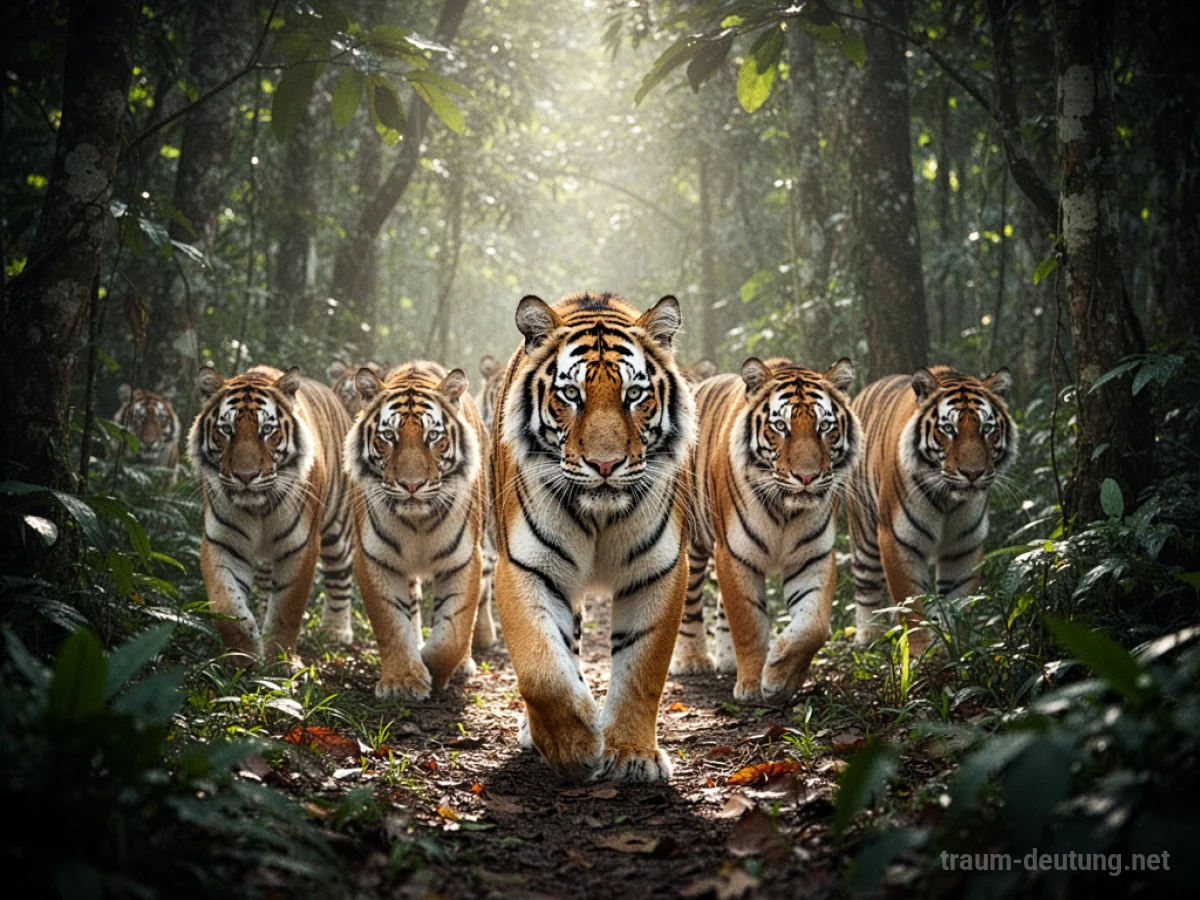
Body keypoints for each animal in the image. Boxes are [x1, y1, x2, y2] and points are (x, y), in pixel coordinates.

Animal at [189, 365, 355, 665]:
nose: (245, 476)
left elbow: (288, 608)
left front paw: (281, 661)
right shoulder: (221, 542)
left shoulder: (302, 545)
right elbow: (226, 606)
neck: (258, 509)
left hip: (338, 529)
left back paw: (336, 631)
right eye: (226, 429)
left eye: (266, 430)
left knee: (340, 575)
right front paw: (245, 658)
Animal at [345, 361, 489, 701]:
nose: (411, 485)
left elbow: (454, 632)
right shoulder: (374, 559)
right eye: (389, 436)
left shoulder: (465, 560)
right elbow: (391, 624)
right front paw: (403, 681)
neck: (417, 523)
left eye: (433, 436)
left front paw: (435, 671)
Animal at [492, 291, 696, 783]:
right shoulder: (525, 567)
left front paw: (632, 755)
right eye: (571, 395)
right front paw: (575, 746)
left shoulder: (658, 570)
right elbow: (541, 669)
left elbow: (642, 670)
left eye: (634, 395)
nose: (605, 465)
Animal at [673, 357, 861, 704]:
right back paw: (692, 660)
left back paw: (728, 660)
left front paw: (779, 676)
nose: (807, 477)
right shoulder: (735, 554)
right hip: (694, 541)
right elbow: (748, 622)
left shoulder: (814, 556)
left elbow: (813, 625)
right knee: (691, 601)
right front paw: (751, 685)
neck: (786, 511)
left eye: (824, 427)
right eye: (781, 427)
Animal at [844, 366, 1017, 656]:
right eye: (948, 429)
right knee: (865, 580)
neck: (950, 500)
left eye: (987, 429)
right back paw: (869, 636)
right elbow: (911, 604)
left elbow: (959, 601)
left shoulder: (965, 546)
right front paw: (920, 652)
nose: (973, 473)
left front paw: (958, 648)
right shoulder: (896, 539)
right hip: (864, 530)